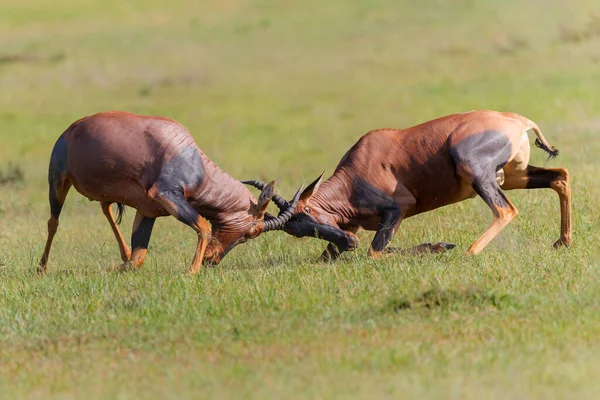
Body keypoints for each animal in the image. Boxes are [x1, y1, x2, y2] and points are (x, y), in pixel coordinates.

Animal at [38, 112, 302, 276]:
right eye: (253, 232)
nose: (212, 260)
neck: (192, 160)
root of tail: (69, 130)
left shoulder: (147, 211)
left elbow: (137, 259)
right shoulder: (165, 194)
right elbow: (203, 225)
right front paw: (191, 272)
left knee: (106, 208)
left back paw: (122, 252)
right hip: (58, 181)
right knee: (53, 222)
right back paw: (41, 268)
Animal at [244, 110, 572, 260]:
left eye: (309, 211)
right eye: (297, 231)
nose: (349, 243)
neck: (358, 169)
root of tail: (516, 120)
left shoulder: (397, 209)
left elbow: (375, 251)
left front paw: (441, 246)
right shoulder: (351, 228)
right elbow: (326, 258)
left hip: (477, 172)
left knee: (505, 210)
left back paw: (468, 252)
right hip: (514, 176)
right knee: (560, 176)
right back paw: (563, 241)